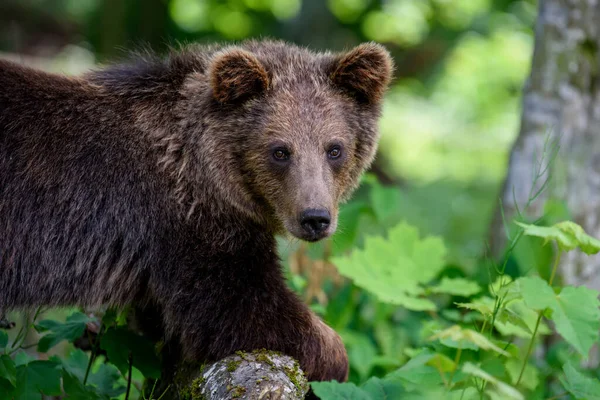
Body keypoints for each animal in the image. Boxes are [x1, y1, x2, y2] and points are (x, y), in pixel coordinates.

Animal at [0, 39, 394, 384]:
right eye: (280, 151)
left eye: (334, 149)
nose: (314, 218)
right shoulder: (187, 223)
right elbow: (239, 310)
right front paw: (335, 355)